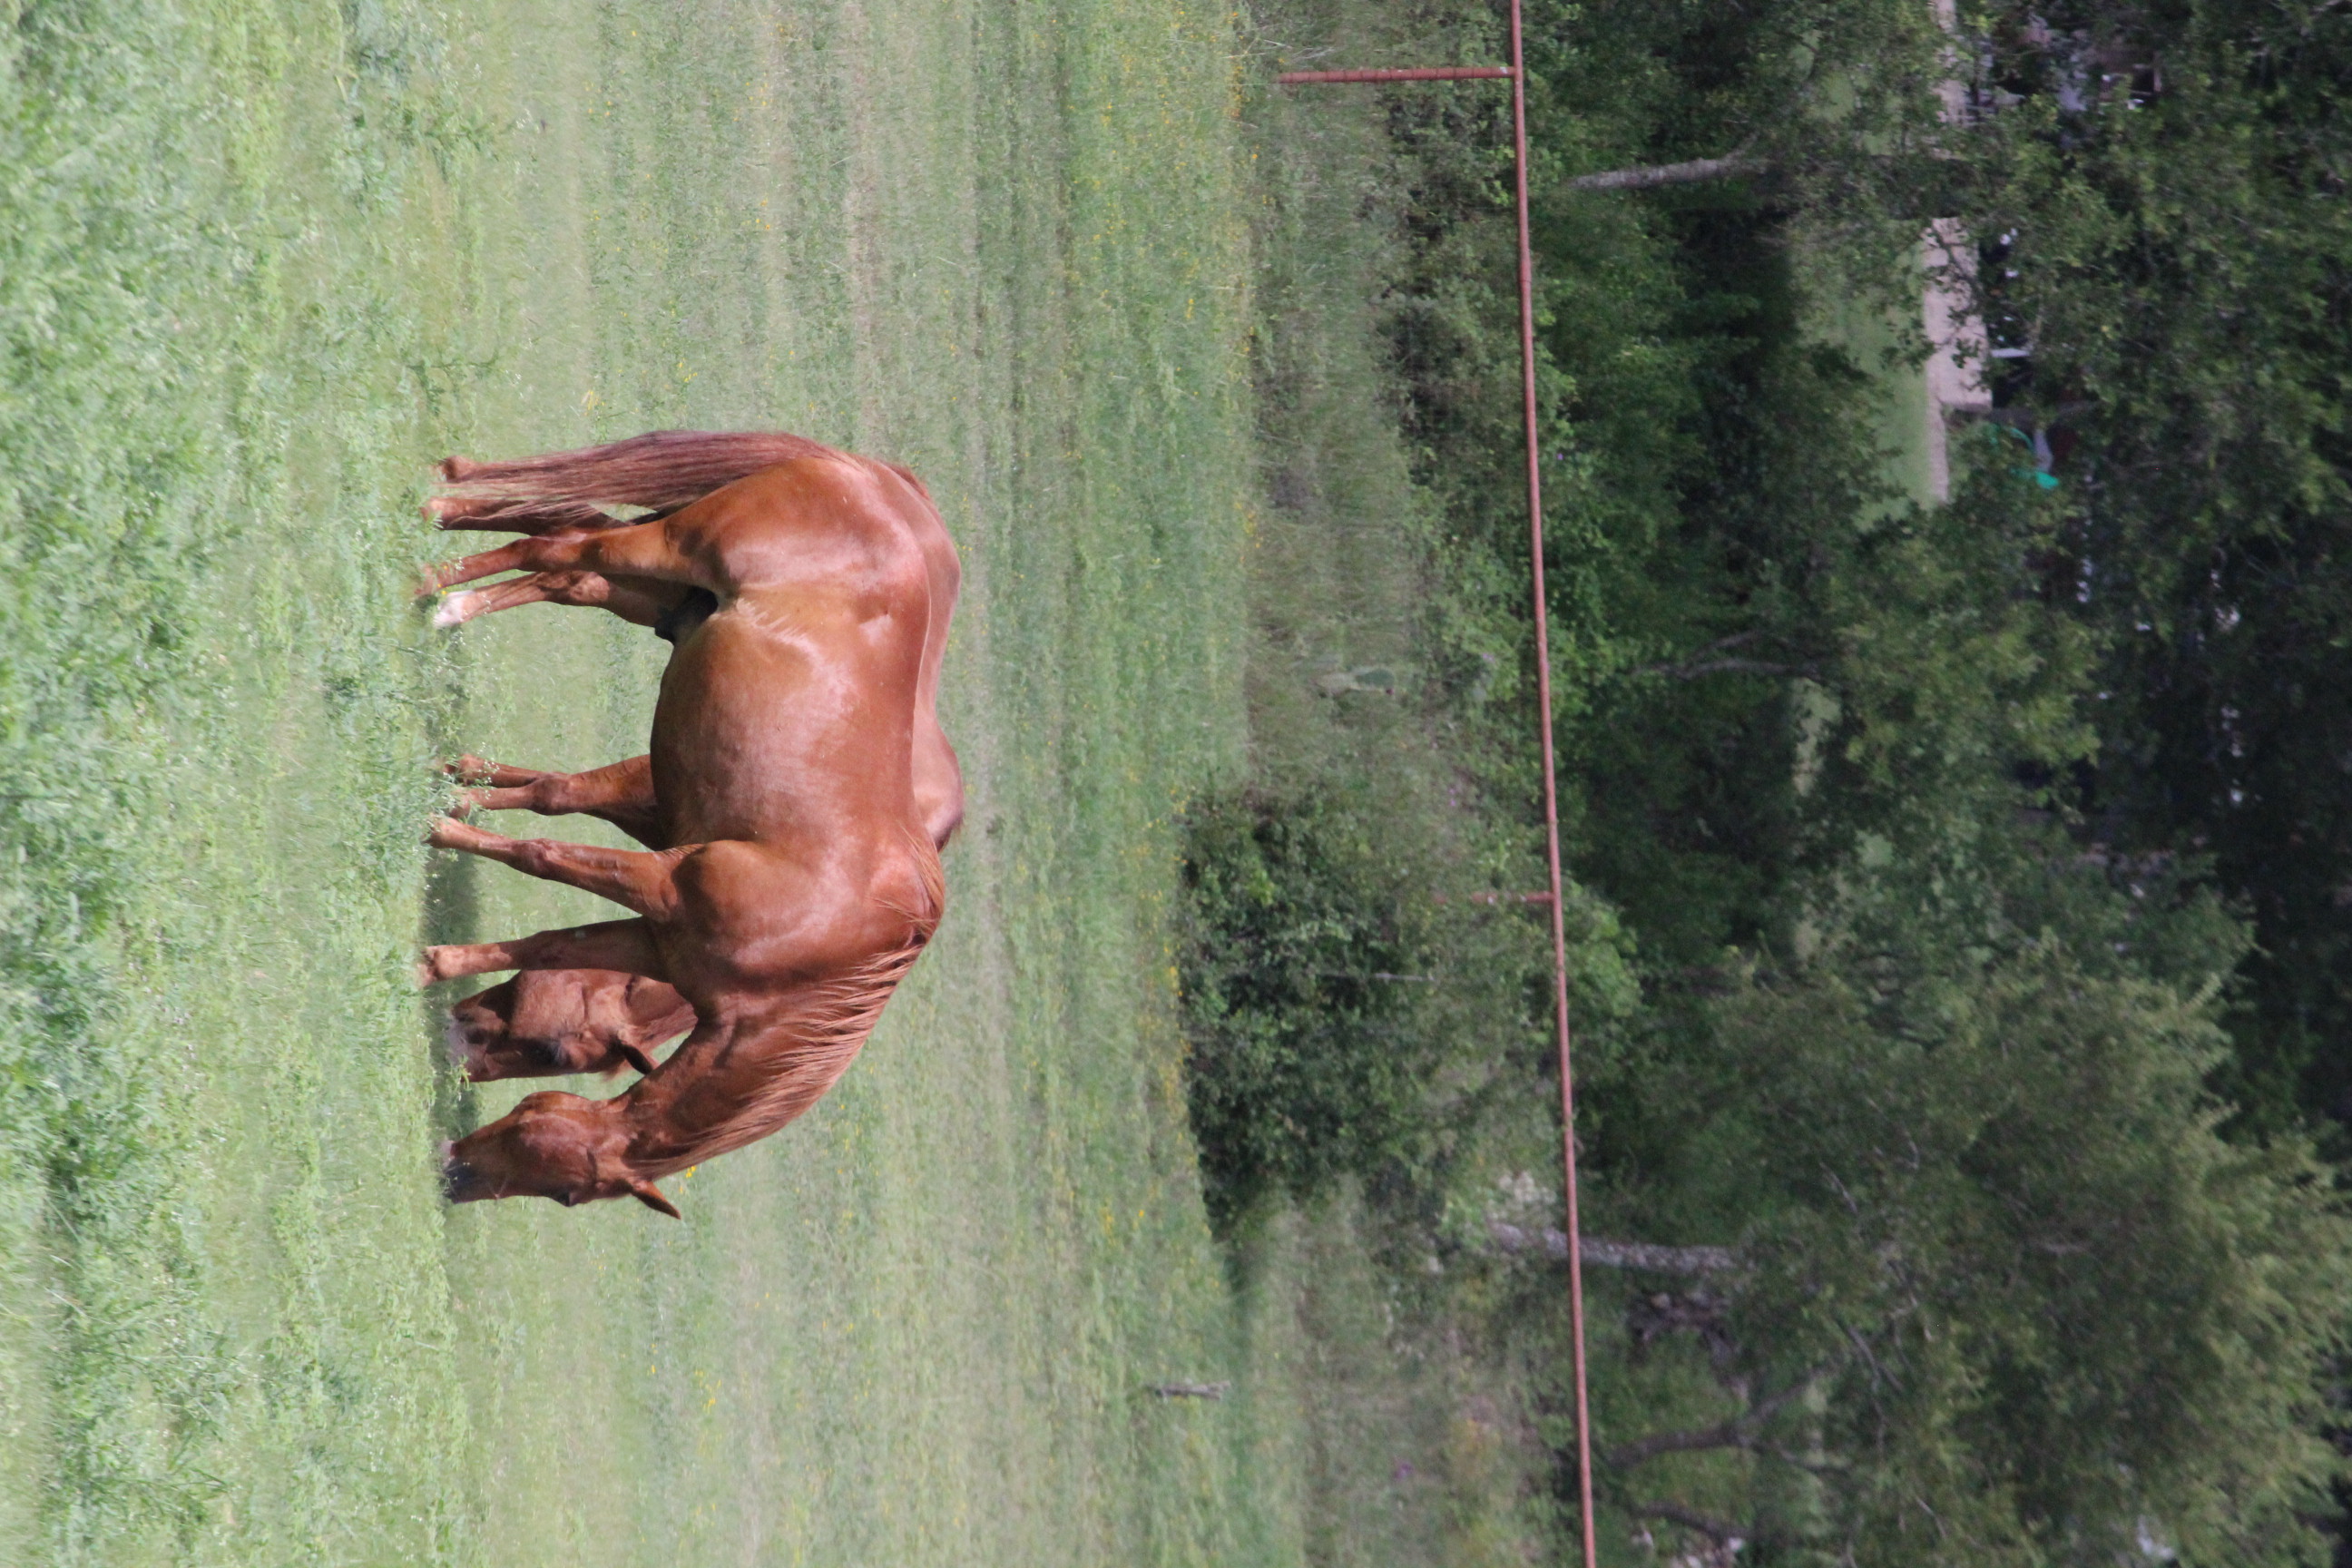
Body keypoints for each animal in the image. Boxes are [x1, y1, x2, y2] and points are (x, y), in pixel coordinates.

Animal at [415, 431, 958, 1216]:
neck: (827, 947)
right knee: (565, 547)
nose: (450, 1174)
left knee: (564, 550)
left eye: (565, 1195)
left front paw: (434, 959)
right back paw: (439, 591)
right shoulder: (666, 880)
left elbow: (549, 940)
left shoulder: (656, 938)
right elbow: (543, 846)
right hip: (666, 548)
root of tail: (868, 479)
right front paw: (443, 824)